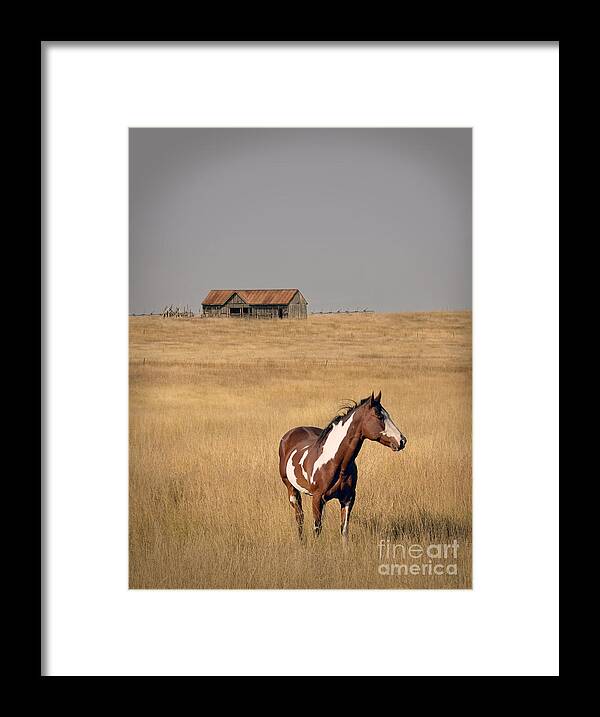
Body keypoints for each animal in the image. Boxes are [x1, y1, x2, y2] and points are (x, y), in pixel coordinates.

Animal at [278, 392, 406, 544]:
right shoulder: (317, 498)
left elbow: (344, 530)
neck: (336, 463)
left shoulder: (347, 499)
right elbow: (317, 529)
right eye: (379, 416)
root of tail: (289, 434)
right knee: (299, 517)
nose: (402, 441)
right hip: (291, 489)